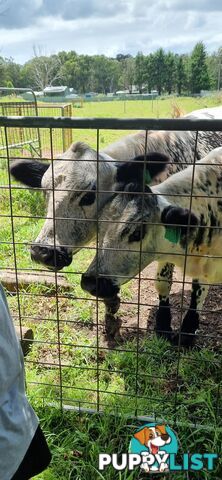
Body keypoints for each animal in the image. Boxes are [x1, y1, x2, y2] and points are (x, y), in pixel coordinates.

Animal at [81, 146, 222, 344]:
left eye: (137, 233)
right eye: (99, 226)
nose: (90, 282)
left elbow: (198, 293)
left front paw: (187, 334)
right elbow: (163, 283)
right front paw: (163, 326)